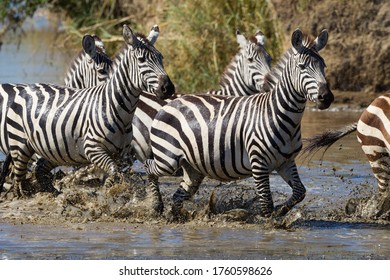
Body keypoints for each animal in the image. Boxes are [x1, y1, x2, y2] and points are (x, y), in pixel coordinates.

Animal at [145, 28, 334, 218]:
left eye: (323, 66)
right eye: (302, 67)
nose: (326, 97)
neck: (279, 115)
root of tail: (170, 103)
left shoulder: (285, 162)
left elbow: (299, 192)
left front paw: (281, 211)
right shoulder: (258, 163)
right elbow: (266, 204)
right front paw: (271, 220)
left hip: (193, 166)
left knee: (179, 194)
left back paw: (176, 215)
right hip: (167, 158)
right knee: (149, 168)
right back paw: (155, 206)